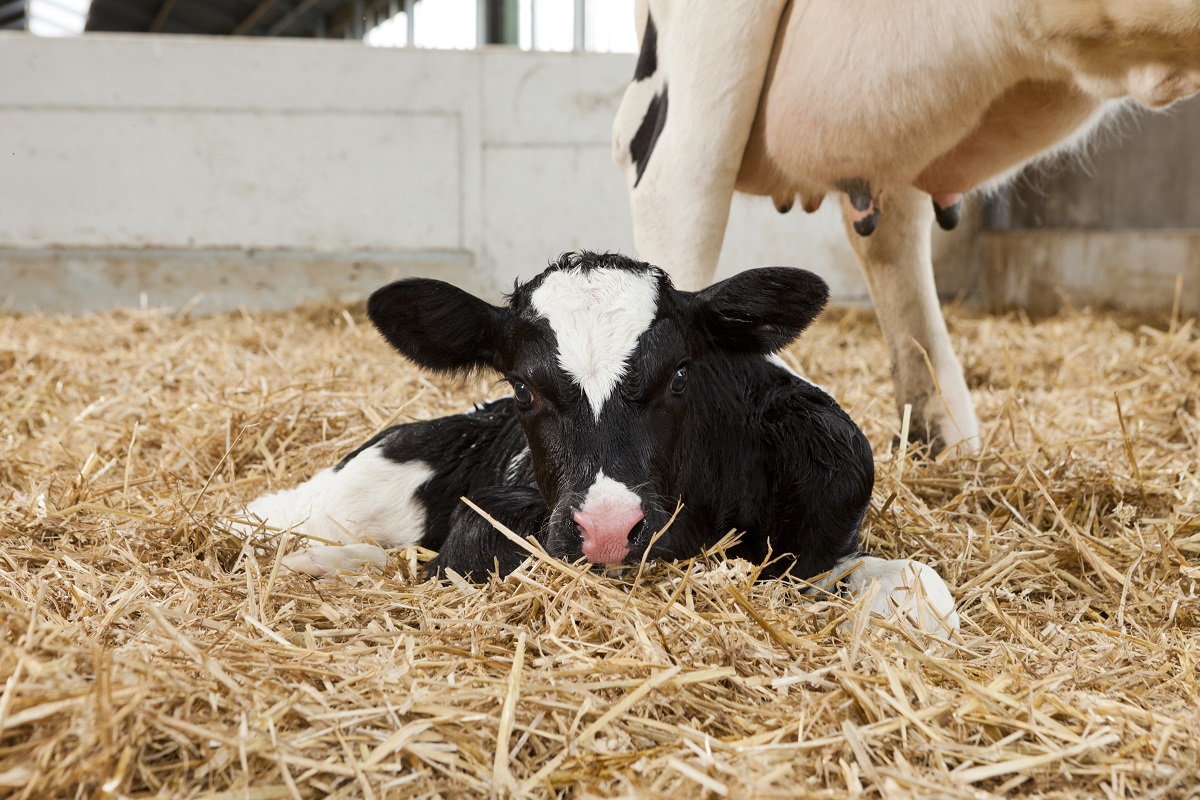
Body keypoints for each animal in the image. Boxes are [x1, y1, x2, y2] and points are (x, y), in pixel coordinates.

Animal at [236, 252, 959, 635]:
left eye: (679, 375)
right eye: (523, 388)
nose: (609, 529)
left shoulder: (827, 529)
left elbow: (922, 589)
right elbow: (461, 554)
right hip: (334, 494)